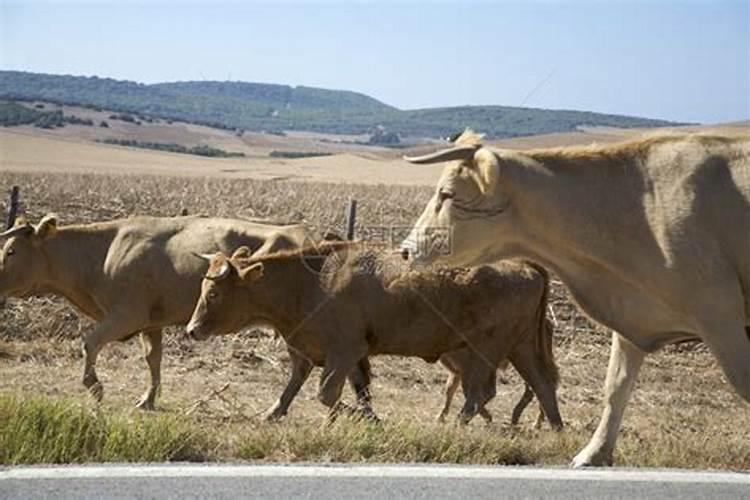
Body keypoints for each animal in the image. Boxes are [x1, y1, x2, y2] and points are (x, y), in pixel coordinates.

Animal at [0, 215, 374, 410]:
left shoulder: (126, 314)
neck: (105, 250)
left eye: (11, 250)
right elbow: (153, 359)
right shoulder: (150, 322)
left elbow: (89, 343)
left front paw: (95, 387)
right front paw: (148, 398)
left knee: (314, 365)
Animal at [187, 242, 564, 426]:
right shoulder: (328, 353)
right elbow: (318, 388)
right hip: (521, 347)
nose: (191, 330)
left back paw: (456, 423)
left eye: (215, 293)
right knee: (543, 385)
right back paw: (556, 428)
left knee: (481, 394)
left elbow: (327, 394)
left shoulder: (342, 351)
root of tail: (524, 264)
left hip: (485, 350)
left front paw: (352, 416)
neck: (312, 281)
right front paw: (272, 414)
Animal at [402, 131, 748, 466]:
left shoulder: (721, 319)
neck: (639, 205)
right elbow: (616, 387)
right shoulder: (632, 314)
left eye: (447, 194)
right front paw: (594, 454)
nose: (405, 250)